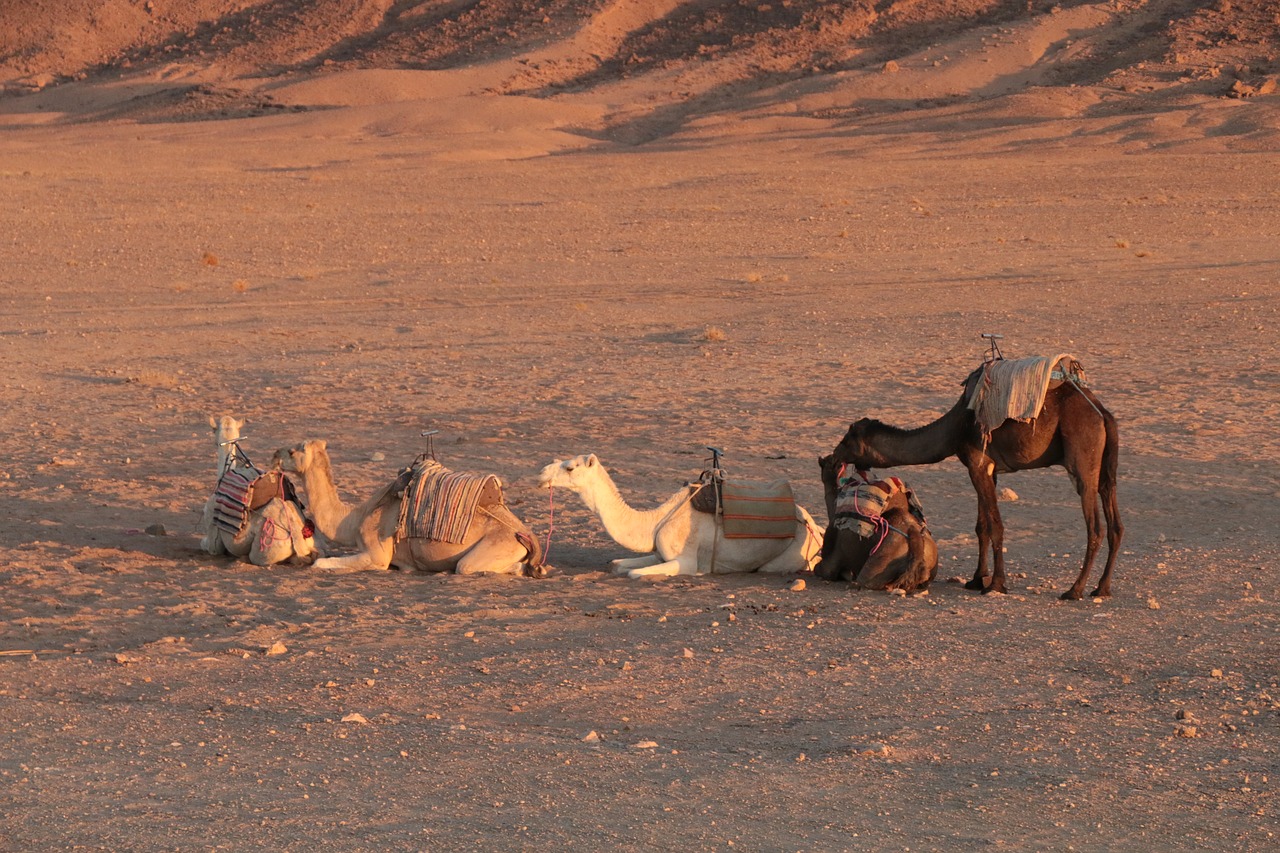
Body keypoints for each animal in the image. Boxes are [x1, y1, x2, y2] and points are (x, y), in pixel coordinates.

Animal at [275, 438, 545, 578]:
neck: (353, 519)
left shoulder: (377, 555)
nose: (274, 454)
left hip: (495, 548)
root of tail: (527, 535)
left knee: (472, 566)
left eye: (291, 451)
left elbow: (320, 563)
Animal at [537, 450, 819, 578]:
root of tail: (813, 525)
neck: (654, 522)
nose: (541, 473)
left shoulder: (685, 559)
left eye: (570, 467)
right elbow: (617, 565)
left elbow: (634, 573)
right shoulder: (658, 552)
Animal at [814, 450, 936, 591]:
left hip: (878, 563)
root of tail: (914, 533)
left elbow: (821, 569)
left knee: (865, 580)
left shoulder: (830, 561)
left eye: (826, 462)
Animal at [829, 363, 1121, 596]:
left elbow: (996, 526)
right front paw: (977, 579)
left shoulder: (978, 464)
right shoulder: (987, 470)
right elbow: (982, 526)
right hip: (1106, 470)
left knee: (1095, 526)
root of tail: (1103, 414)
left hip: (1083, 461)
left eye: (847, 440)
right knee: (1115, 523)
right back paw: (1102, 588)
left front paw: (996, 585)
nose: (832, 456)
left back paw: (1074, 590)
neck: (955, 428)